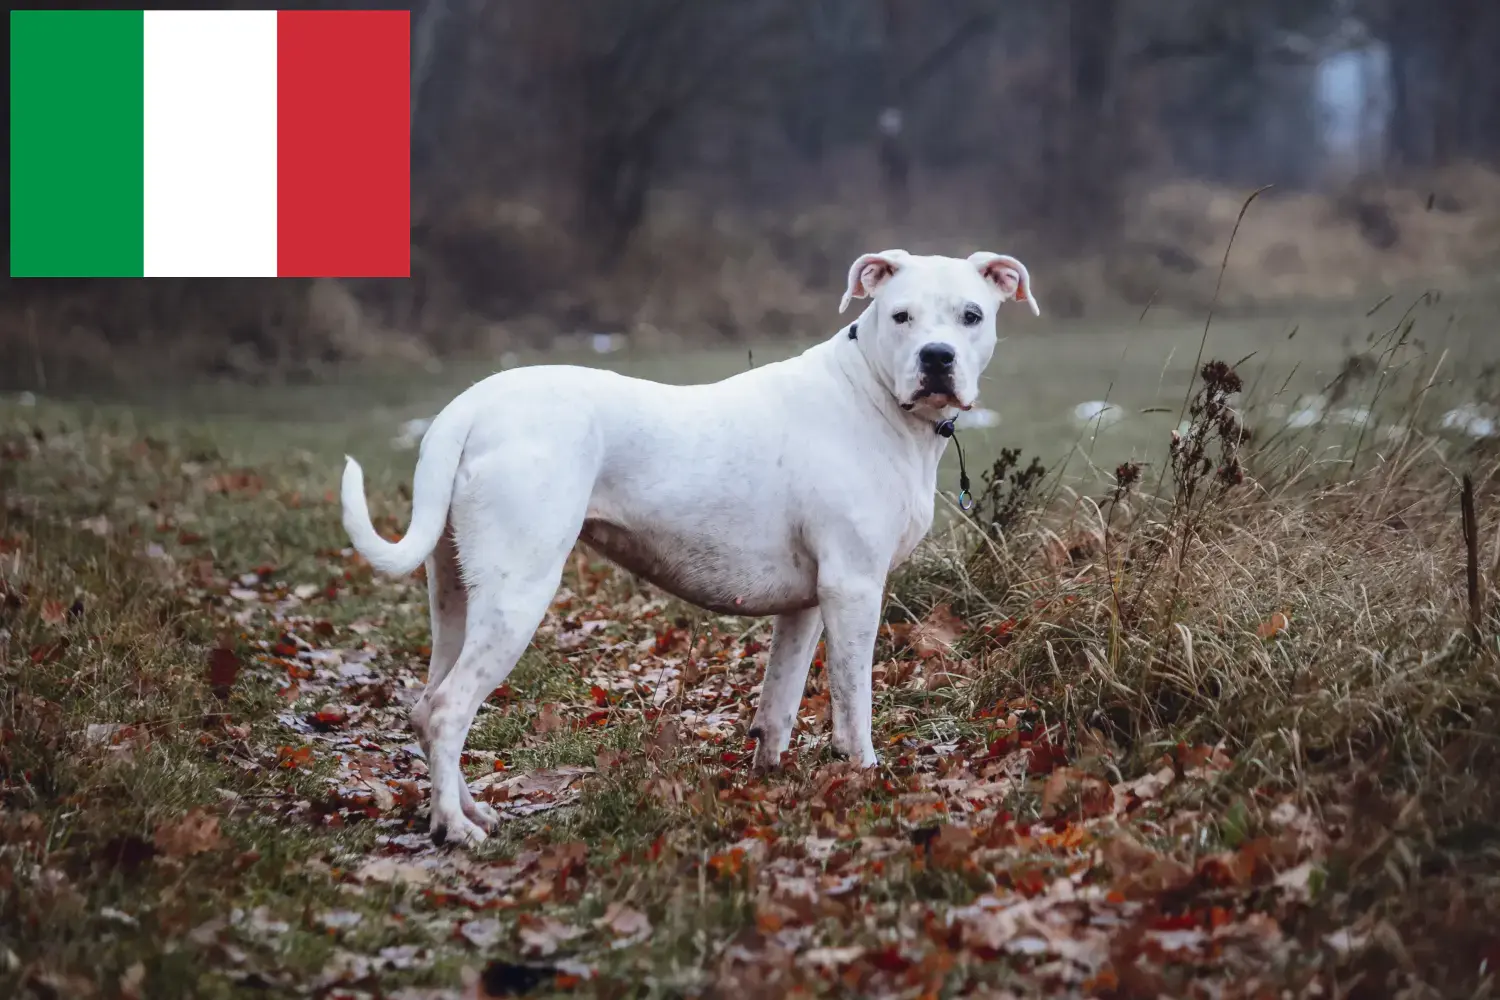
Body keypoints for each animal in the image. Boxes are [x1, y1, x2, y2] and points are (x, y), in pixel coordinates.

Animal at [343, 250, 1038, 845]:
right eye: (901, 317)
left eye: (971, 316)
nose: (937, 357)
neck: (873, 394)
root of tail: (470, 405)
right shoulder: (855, 589)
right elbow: (852, 701)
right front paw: (863, 773)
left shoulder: (808, 604)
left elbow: (780, 702)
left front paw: (771, 778)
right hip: (518, 593)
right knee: (447, 711)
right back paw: (453, 829)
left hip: (457, 596)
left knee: (428, 704)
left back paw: (467, 810)